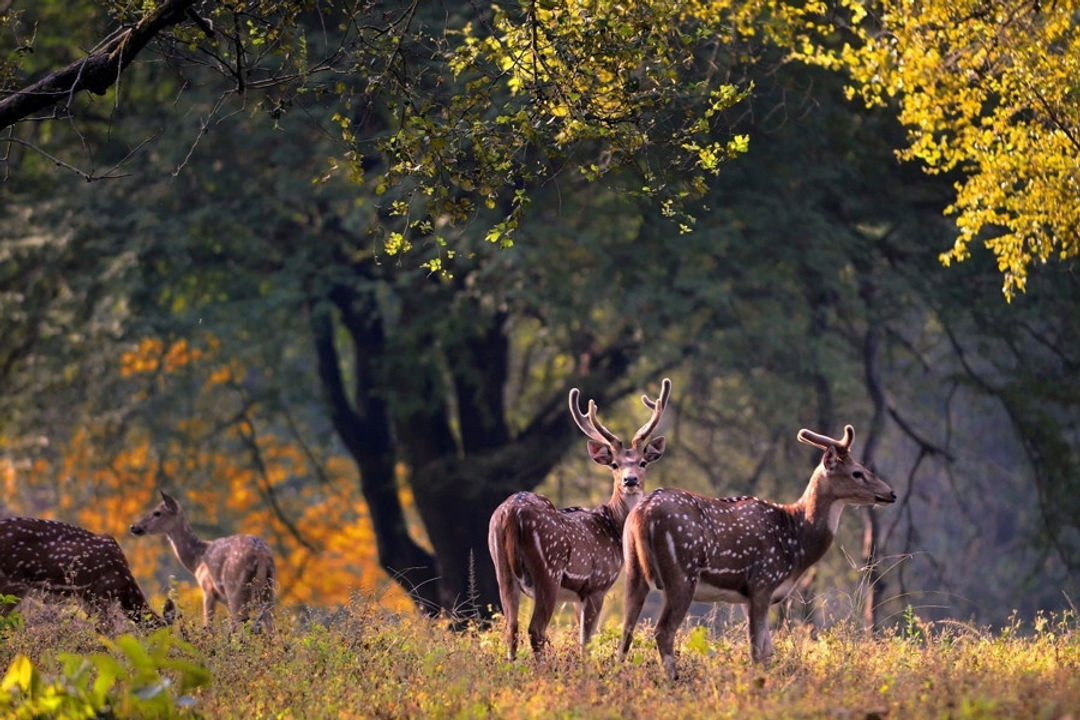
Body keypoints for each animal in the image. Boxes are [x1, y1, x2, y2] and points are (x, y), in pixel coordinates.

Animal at [129, 490, 276, 634]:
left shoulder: (207, 589)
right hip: (268, 589)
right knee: (270, 625)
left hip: (235, 588)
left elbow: (208, 626)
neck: (196, 560)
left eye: (157, 512)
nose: (133, 526)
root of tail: (260, 554)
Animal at [488, 379, 669, 660]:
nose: (630, 480)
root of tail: (511, 514)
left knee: (511, 628)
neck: (612, 526)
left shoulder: (577, 597)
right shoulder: (596, 585)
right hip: (548, 571)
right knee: (535, 629)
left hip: (502, 569)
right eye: (615, 465)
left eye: (642, 463)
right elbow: (587, 641)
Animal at [622, 425, 898, 677]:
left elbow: (766, 649)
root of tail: (643, 513)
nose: (891, 493)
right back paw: (673, 679)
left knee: (627, 629)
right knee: (663, 631)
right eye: (857, 472)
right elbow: (757, 650)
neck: (796, 541)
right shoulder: (762, 582)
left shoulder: (749, 595)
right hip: (682, 573)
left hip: (634, 569)